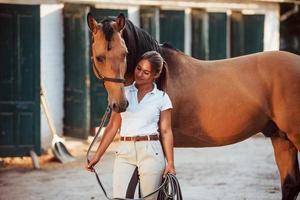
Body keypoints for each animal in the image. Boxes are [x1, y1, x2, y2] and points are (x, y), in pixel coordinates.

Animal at [86, 13, 300, 199]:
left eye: (125, 54)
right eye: (99, 57)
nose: (120, 104)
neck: (159, 77)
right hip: (281, 138)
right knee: (290, 184)